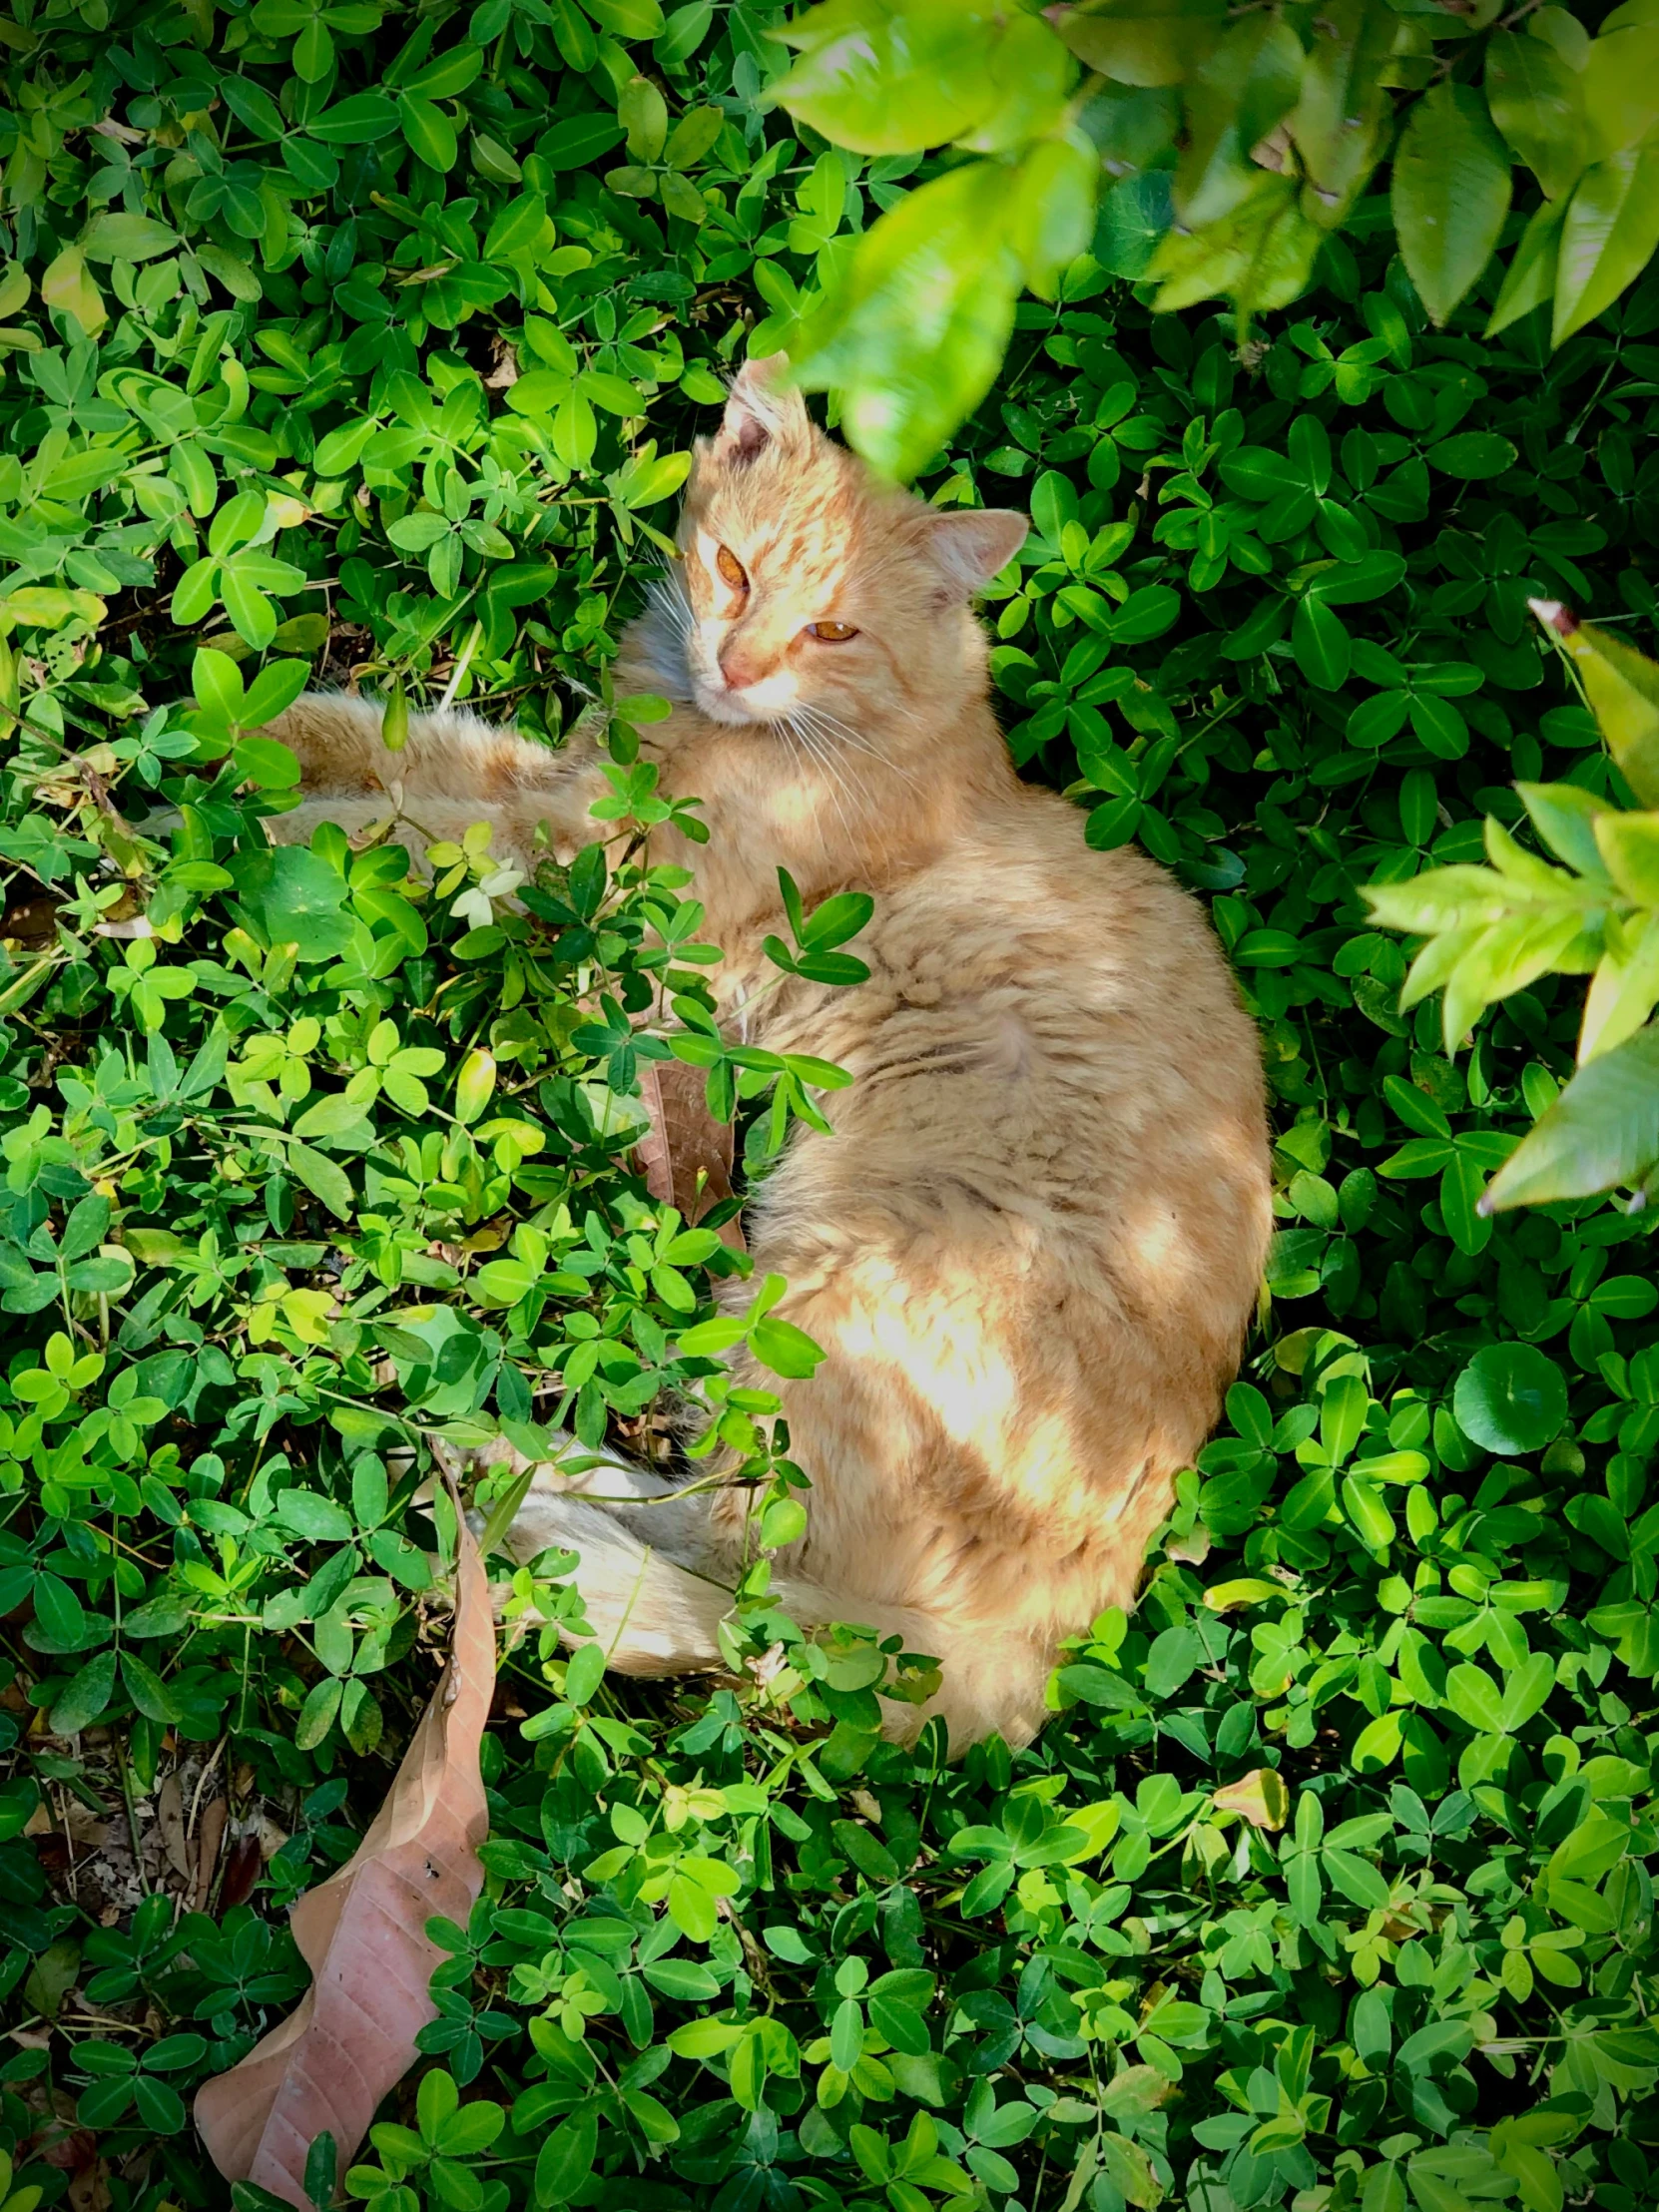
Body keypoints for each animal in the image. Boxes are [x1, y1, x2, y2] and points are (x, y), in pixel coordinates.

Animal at [263, 353, 1274, 1752]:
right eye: (733, 572)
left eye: (833, 632)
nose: (737, 666)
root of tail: (1051, 1646)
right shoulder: (566, 787)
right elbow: (414, 749)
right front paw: (237, 740)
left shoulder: (602, 874)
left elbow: (405, 830)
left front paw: (212, 832)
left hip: (820, 1301)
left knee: (735, 1586)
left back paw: (512, 1476)